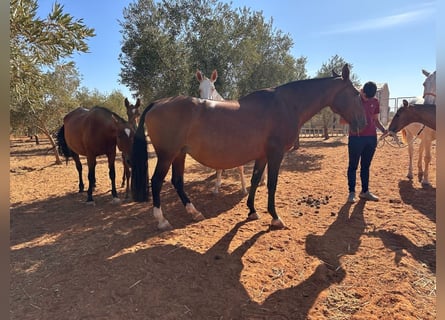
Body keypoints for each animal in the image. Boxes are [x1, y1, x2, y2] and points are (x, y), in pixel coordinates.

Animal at [131, 64, 364, 230]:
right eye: (356, 94)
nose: (362, 122)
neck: (286, 105)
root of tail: (157, 103)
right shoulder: (276, 154)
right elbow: (272, 184)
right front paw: (275, 218)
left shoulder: (262, 155)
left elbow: (254, 181)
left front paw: (252, 211)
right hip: (166, 155)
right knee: (156, 182)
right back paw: (162, 221)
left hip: (179, 154)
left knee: (177, 182)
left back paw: (194, 212)